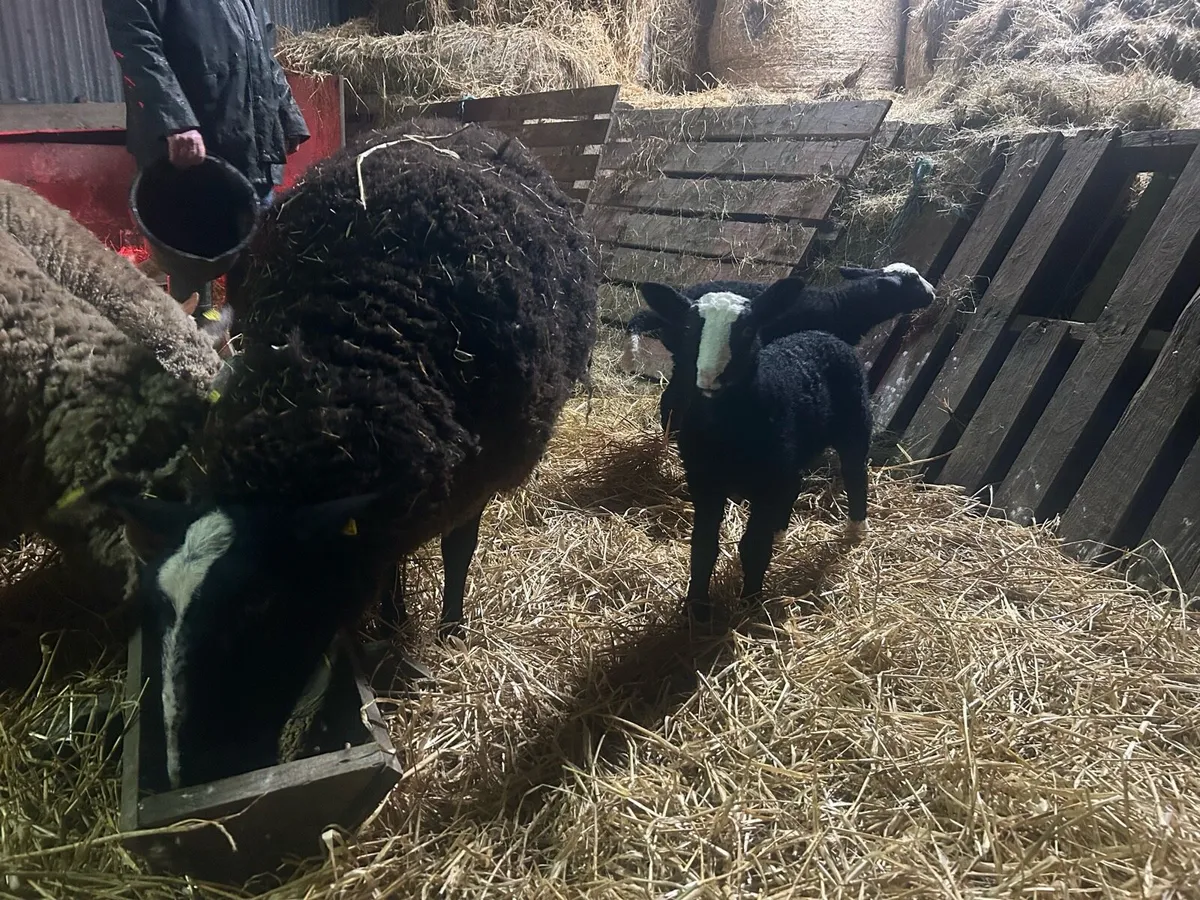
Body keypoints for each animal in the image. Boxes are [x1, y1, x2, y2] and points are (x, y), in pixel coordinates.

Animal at [88, 118, 600, 789]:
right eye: (157, 610)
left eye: (261, 611)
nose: (190, 774)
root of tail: (445, 124)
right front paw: (387, 622)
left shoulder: (475, 479)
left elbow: (457, 552)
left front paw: (450, 631)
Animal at [638, 277, 873, 624]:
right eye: (689, 328)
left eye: (748, 330)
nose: (710, 376)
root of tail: (822, 335)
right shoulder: (705, 482)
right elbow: (703, 547)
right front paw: (696, 609)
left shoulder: (768, 485)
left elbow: (754, 548)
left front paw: (750, 605)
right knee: (797, 485)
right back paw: (781, 530)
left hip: (855, 424)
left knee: (856, 473)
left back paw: (855, 531)